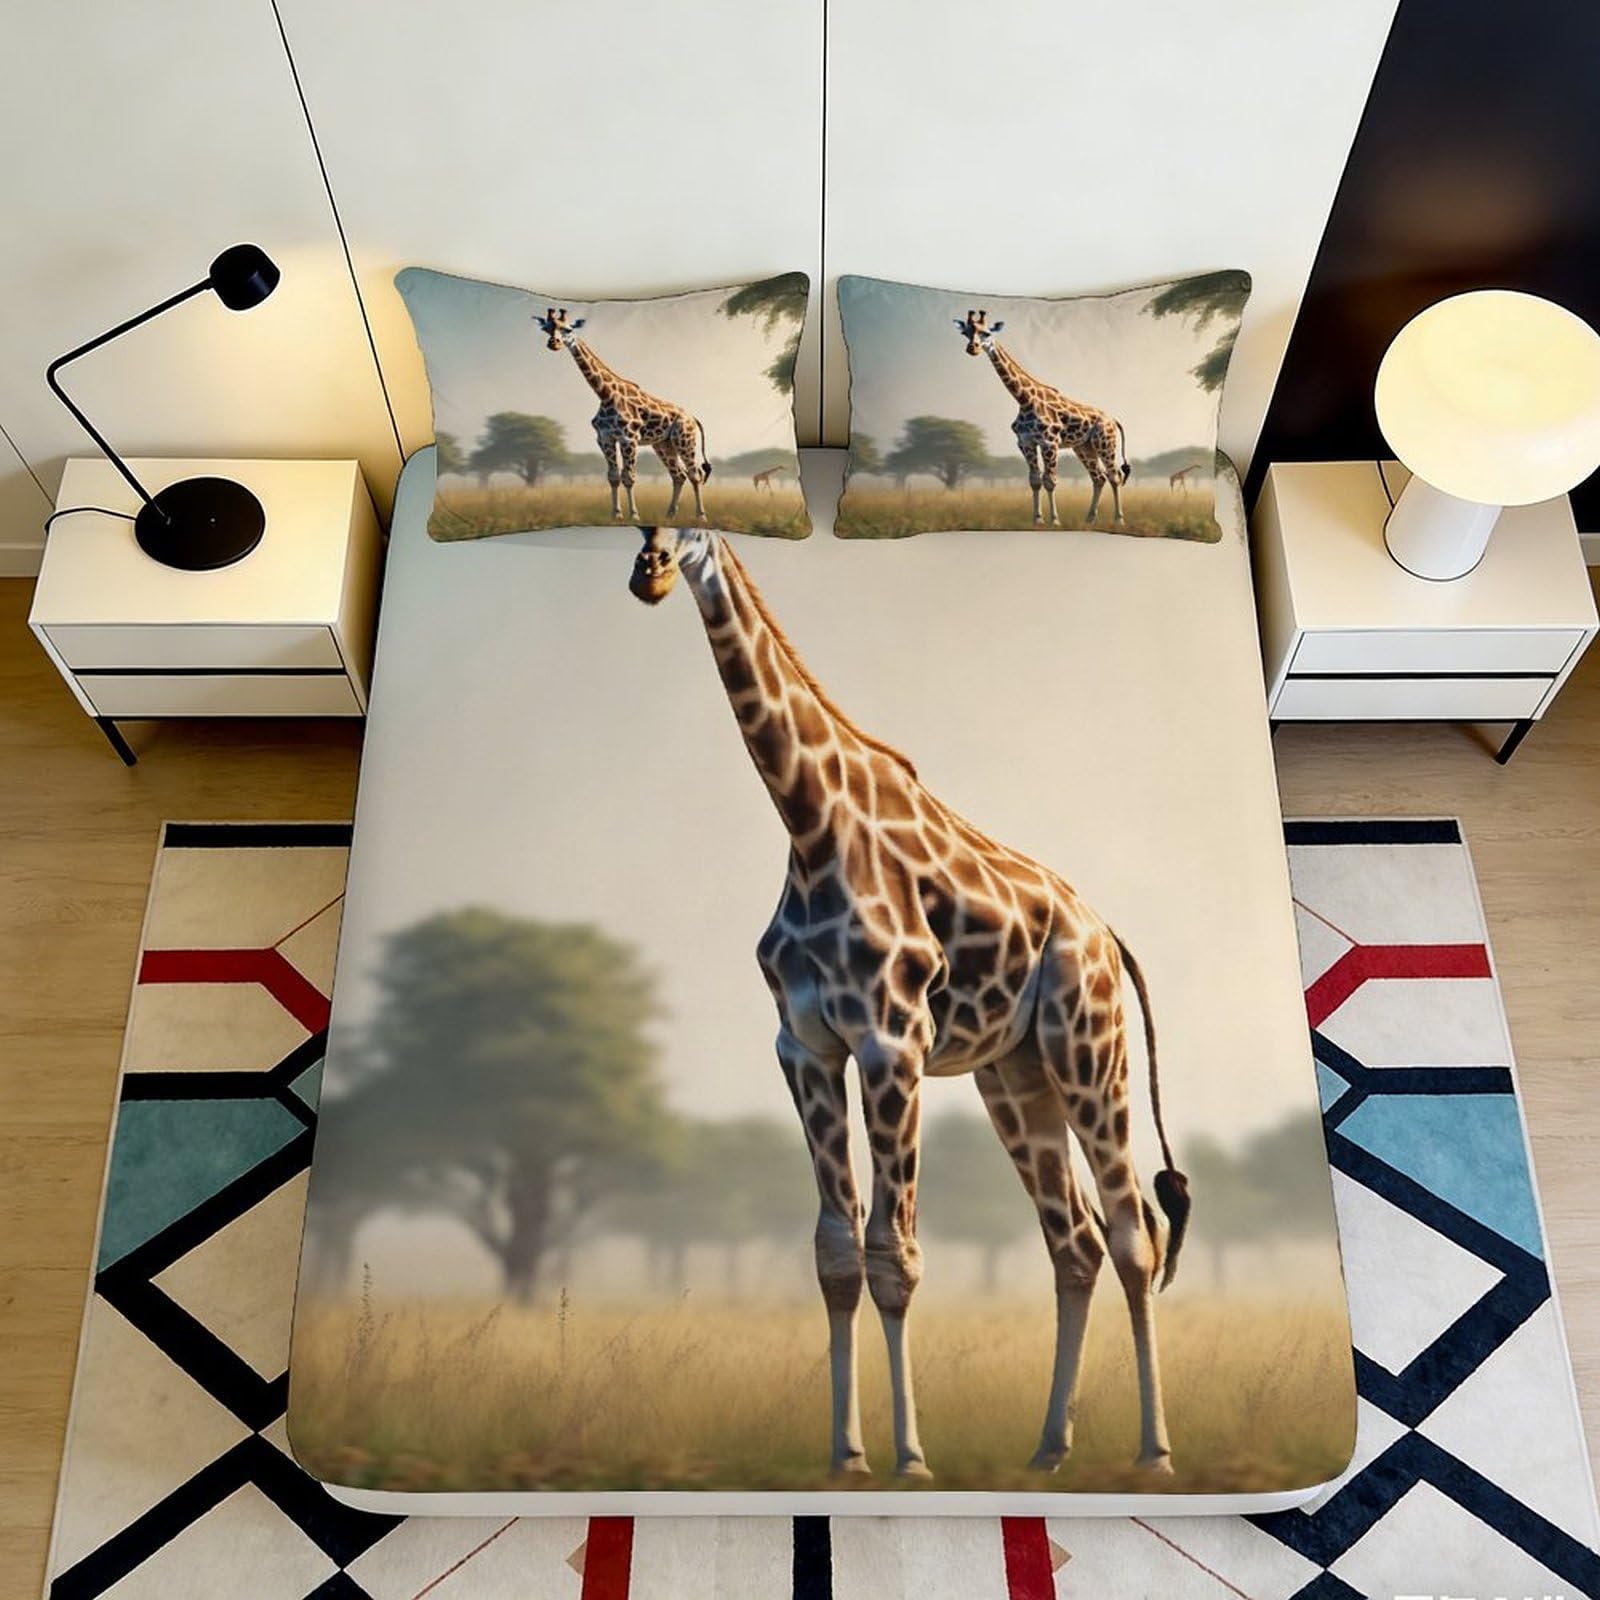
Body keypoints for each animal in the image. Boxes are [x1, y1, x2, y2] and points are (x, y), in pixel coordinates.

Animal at [537, 309, 712, 521]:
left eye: (568, 329)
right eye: (546, 329)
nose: (553, 343)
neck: (605, 394)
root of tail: (693, 418)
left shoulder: (629, 438)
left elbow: (628, 477)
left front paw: (634, 515)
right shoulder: (605, 438)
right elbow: (613, 477)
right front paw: (616, 515)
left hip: (685, 440)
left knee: (695, 474)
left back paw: (701, 516)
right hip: (663, 444)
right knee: (678, 474)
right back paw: (669, 515)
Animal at [628, 525, 1192, 1480]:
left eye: (692, 524)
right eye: (636, 524)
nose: (652, 573)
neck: (810, 824)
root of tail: (1107, 933)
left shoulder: (893, 1041)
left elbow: (895, 1255)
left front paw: (910, 1457)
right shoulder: (804, 1045)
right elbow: (835, 1253)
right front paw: (845, 1453)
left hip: (1090, 1052)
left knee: (1131, 1233)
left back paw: (1154, 1450)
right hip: (1016, 1077)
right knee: (1072, 1243)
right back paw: (1049, 1448)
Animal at [956, 310, 1131, 527]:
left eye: (987, 333)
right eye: (965, 333)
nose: (973, 348)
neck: (1024, 399)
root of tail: (1113, 420)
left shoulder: (1049, 442)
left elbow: (1050, 481)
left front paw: (1055, 520)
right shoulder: (1025, 442)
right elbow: (1035, 480)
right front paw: (1037, 519)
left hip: (1105, 443)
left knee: (1114, 475)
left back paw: (1118, 519)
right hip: (1083, 447)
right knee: (1098, 478)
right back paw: (1089, 519)